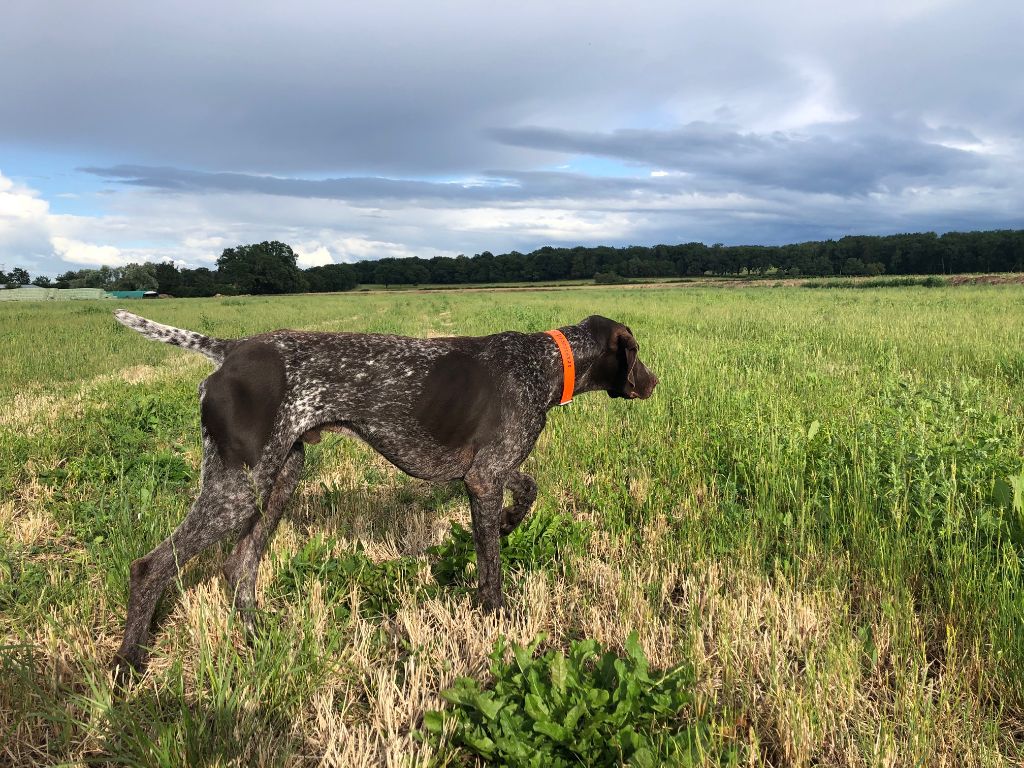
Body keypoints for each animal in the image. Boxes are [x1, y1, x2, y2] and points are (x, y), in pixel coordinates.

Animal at [110, 313, 655, 679]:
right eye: (637, 353)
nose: (653, 381)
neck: (545, 363)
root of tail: (230, 350)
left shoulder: (490, 470)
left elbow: (527, 489)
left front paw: (509, 521)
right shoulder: (484, 477)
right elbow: (491, 566)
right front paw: (497, 616)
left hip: (278, 478)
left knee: (240, 562)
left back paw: (256, 630)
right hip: (238, 488)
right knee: (152, 566)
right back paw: (128, 662)